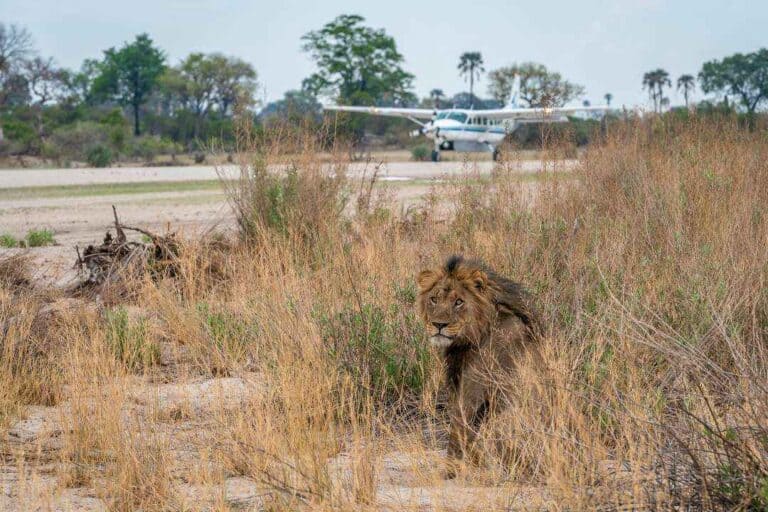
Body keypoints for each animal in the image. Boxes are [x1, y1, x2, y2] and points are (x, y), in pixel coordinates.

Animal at [416, 255, 540, 477]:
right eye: (434, 299)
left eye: (459, 302)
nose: (439, 325)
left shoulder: (472, 388)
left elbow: (458, 429)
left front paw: (449, 471)